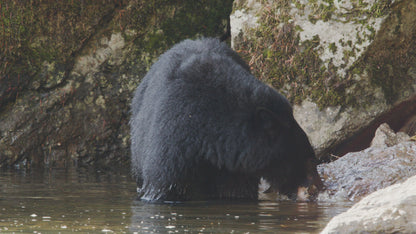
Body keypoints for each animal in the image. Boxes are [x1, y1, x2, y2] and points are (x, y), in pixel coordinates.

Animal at [130, 37, 322, 200]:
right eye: (308, 159)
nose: (318, 188)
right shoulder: (173, 136)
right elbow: (162, 183)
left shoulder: (237, 167)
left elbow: (237, 191)